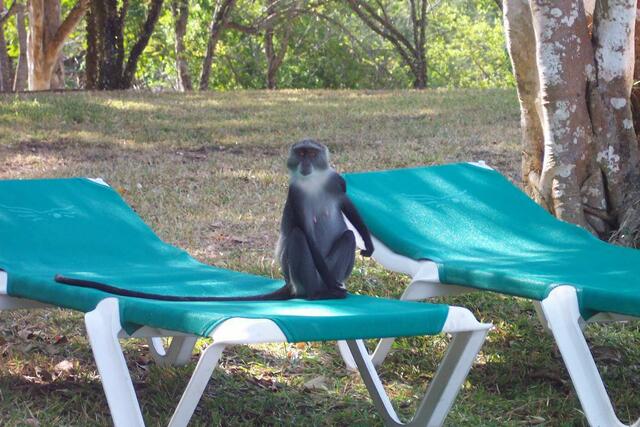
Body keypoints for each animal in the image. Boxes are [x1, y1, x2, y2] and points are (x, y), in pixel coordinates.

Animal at [54, 139, 374, 301]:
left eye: (312, 153)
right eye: (301, 153)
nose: (305, 163)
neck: (314, 181)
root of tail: (292, 285)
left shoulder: (335, 180)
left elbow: (347, 207)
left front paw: (369, 245)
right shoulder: (295, 194)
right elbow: (304, 229)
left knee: (346, 236)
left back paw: (332, 287)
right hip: (302, 276)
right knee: (297, 236)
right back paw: (319, 293)